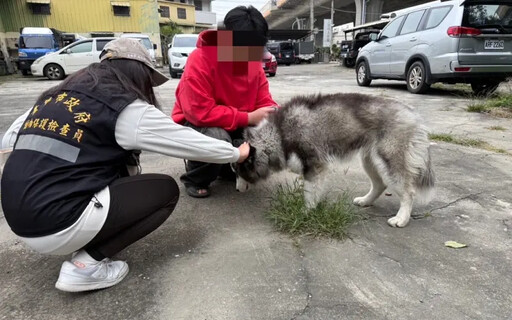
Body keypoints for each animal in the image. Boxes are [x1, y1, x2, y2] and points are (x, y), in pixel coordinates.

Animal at [234, 92, 434, 228]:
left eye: (239, 171)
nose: (236, 189)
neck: (279, 133)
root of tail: (414, 115)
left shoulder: (315, 166)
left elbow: (309, 193)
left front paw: (306, 212)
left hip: (390, 161)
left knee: (409, 192)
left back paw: (402, 218)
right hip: (370, 160)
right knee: (380, 184)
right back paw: (366, 200)